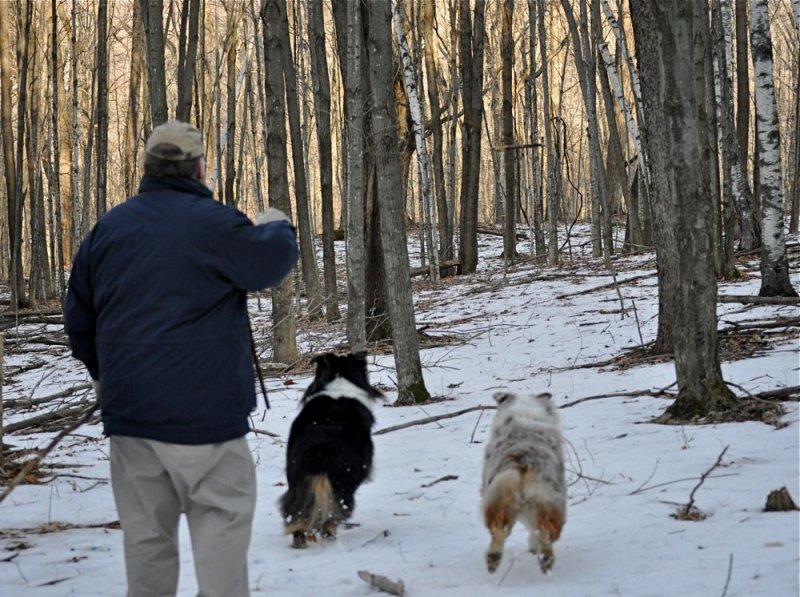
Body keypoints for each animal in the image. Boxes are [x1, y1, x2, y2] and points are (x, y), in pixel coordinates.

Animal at [278, 352, 384, 548]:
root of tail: (318, 452)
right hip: (342, 486)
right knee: (332, 514)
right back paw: (329, 536)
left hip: (297, 481)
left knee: (298, 514)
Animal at [478, 392, 564, 572]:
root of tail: (523, 462)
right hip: (549, 503)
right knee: (544, 532)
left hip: (500, 496)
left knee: (500, 530)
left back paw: (494, 559)